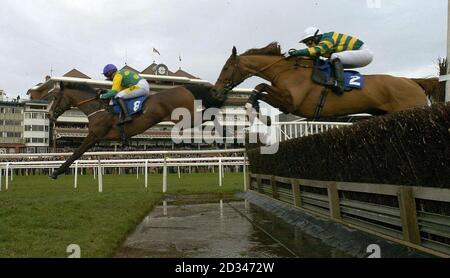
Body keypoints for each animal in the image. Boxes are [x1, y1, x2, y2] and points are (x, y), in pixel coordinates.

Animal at [48, 81, 224, 179]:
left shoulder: (94, 135)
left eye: (56, 98)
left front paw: (57, 172)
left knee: (210, 113)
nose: (49, 115)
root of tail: (184, 87)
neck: (98, 109)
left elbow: (76, 153)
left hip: (184, 117)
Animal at [212, 42, 442, 118]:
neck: (287, 71)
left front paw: (249, 104)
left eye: (225, 68)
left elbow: (261, 85)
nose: (215, 91)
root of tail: (413, 81)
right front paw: (254, 106)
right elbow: (263, 89)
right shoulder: (287, 104)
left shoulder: (293, 102)